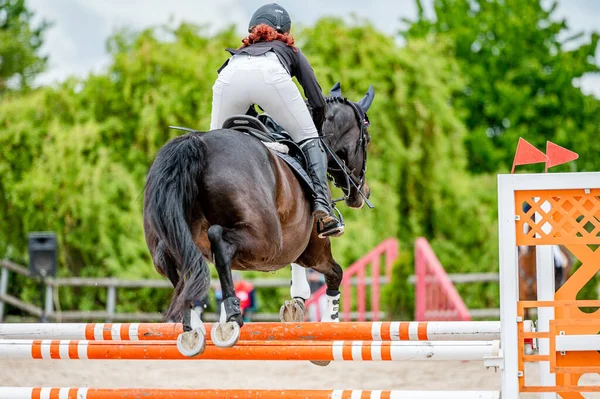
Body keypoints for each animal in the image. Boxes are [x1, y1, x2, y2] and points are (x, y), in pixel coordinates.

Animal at [142, 83, 372, 358]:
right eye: (367, 140)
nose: (362, 193)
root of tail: (197, 144)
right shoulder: (312, 247)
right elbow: (336, 272)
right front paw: (329, 318)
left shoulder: (296, 243)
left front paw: (296, 304)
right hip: (266, 242)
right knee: (219, 242)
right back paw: (230, 318)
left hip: (170, 239)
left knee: (175, 263)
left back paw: (192, 328)